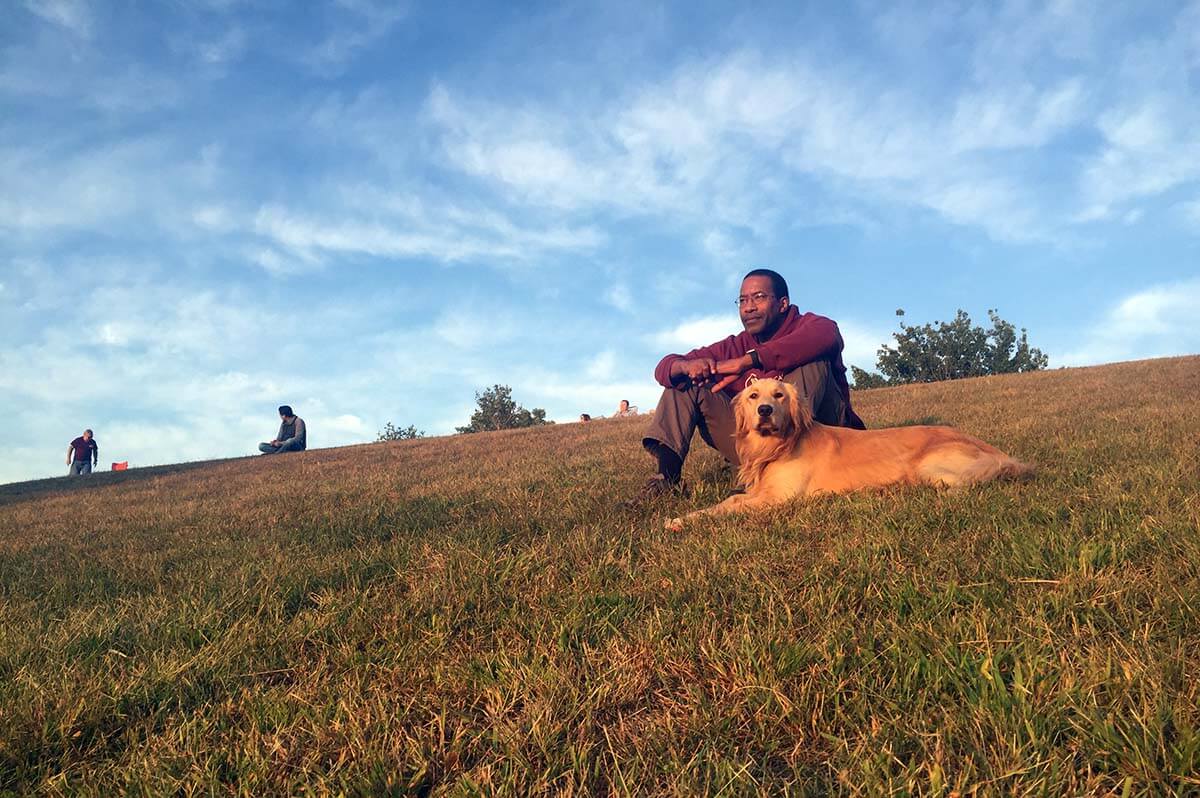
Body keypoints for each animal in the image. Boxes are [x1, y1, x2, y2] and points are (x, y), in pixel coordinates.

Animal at [667, 374, 1032, 525]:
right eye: (754, 395)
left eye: (779, 395)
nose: (765, 411)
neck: (777, 447)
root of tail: (994, 451)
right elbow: (729, 501)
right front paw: (684, 517)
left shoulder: (780, 498)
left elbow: (731, 507)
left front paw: (680, 521)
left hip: (929, 466)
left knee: (966, 486)